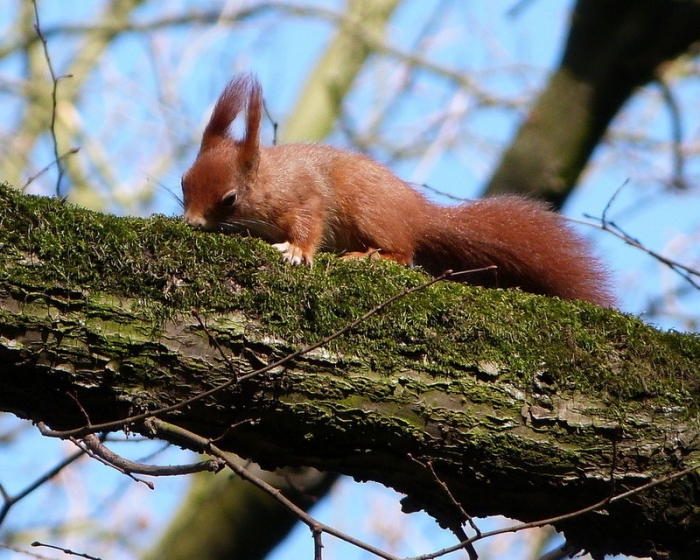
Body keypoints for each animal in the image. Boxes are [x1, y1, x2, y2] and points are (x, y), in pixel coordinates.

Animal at [182, 74, 614, 307]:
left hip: (369, 209)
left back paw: (369, 256)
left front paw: (297, 251)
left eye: (229, 199)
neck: (269, 179)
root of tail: (418, 214)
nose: (192, 222)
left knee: (403, 253)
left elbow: (309, 220)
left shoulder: (303, 195)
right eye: (184, 183)